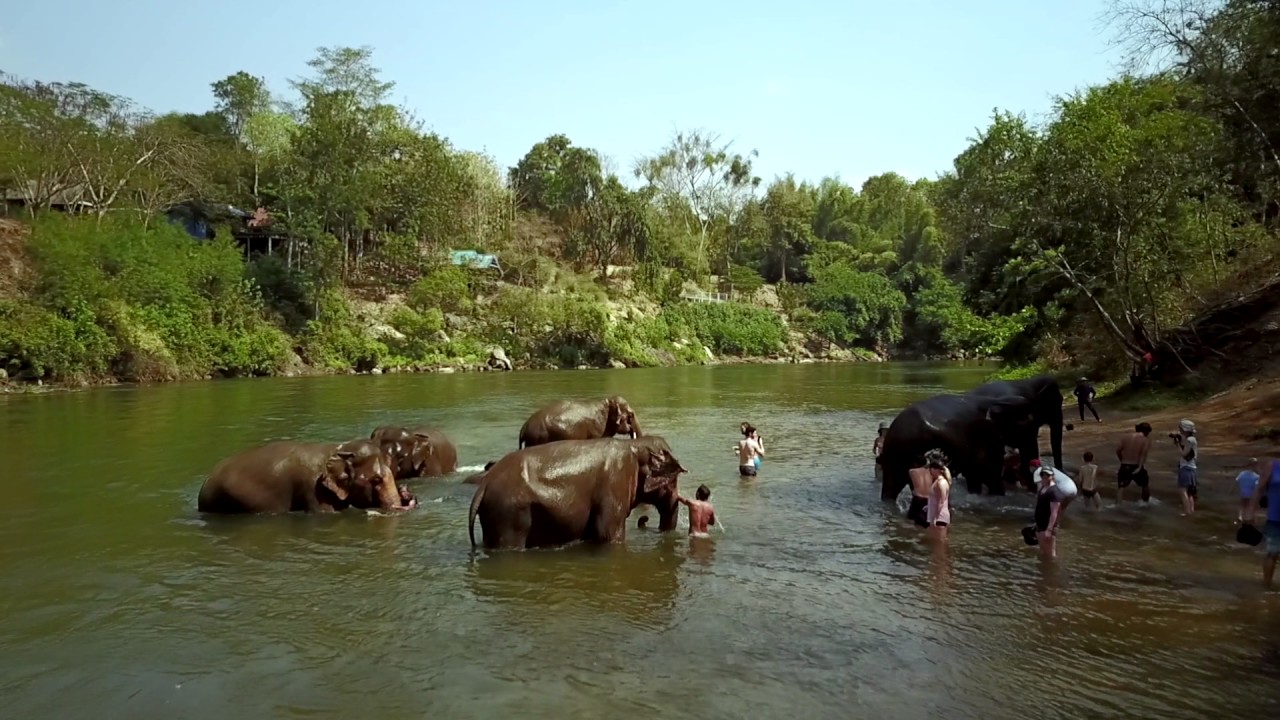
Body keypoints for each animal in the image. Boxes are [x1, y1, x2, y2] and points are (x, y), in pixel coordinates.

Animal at [468, 436, 687, 550]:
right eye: (673, 480)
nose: (645, 521)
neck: (633, 446)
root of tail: (483, 486)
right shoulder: (614, 485)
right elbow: (607, 534)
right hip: (509, 515)